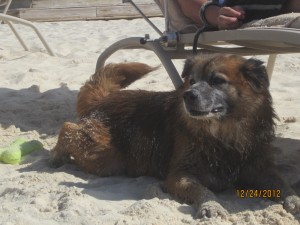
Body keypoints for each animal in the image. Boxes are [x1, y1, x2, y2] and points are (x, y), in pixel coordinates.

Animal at [50, 53, 298, 217]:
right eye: (192, 81)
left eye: (217, 81)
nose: (188, 95)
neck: (224, 134)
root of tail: (103, 99)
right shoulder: (179, 175)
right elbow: (204, 190)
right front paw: (212, 206)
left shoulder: (260, 167)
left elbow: (282, 183)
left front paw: (294, 199)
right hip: (104, 156)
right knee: (67, 128)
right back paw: (55, 156)